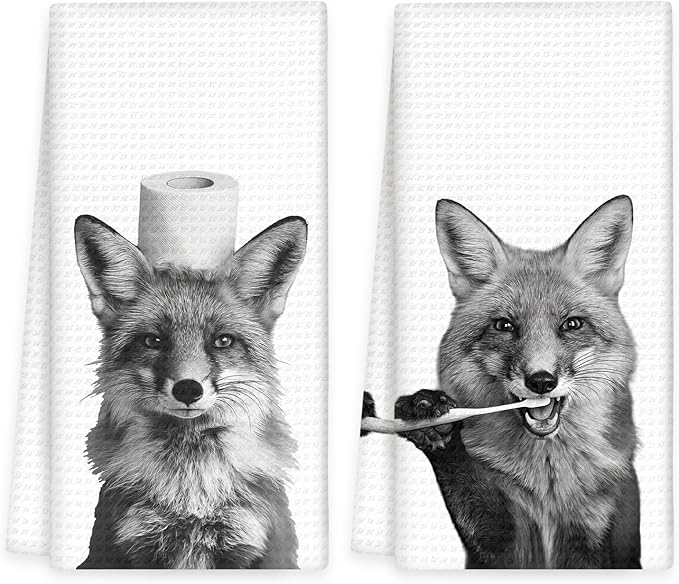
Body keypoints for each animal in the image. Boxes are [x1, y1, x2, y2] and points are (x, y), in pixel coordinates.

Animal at [73, 213, 307, 569]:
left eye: (222, 341)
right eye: (153, 341)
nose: (187, 389)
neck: (191, 490)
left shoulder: (254, 544)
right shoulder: (127, 543)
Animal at [366, 196, 640, 568]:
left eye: (572, 324)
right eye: (504, 326)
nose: (541, 381)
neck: (548, 483)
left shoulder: (599, 533)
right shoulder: (499, 542)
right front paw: (430, 419)